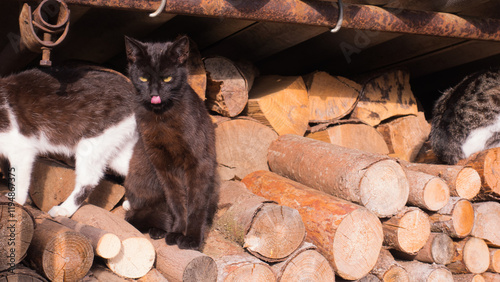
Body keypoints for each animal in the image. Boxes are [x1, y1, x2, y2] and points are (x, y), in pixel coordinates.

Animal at [0, 65, 138, 216]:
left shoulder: (21, 148)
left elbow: (19, 178)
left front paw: (16, 200)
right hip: (116, 148)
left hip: (93, 143)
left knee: (89, 180)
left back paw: (64, 209)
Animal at [123, 36, 219, 250]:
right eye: (143, 78)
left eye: (167, 78)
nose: (154, 94)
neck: (162, 119)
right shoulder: (162, 165)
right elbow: (176, 201)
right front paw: (177, 231)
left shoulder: (199, 162)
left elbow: (196, 203)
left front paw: (191, 238)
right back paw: (159, 229)